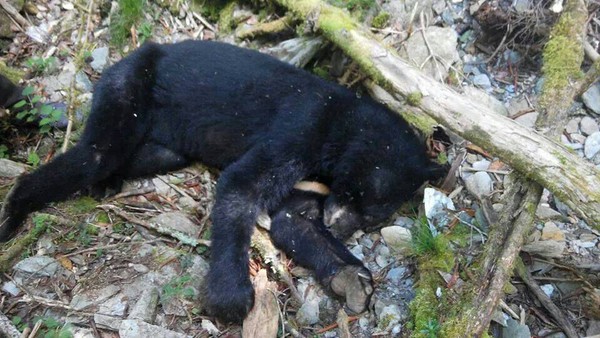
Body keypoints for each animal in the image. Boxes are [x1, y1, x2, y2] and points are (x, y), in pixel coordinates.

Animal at [0, 39, 440, 322]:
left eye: (373, 217)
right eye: (355, 192)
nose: (340, 225)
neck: (342, 126)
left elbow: (292, 222)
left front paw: (352, 279)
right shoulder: (300, 129)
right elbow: (241, 188)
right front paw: (230, 298)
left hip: (163, 142)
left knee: (142, 155)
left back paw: (103, 185)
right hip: (127, 87)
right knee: (95, 153)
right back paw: (15, 213)